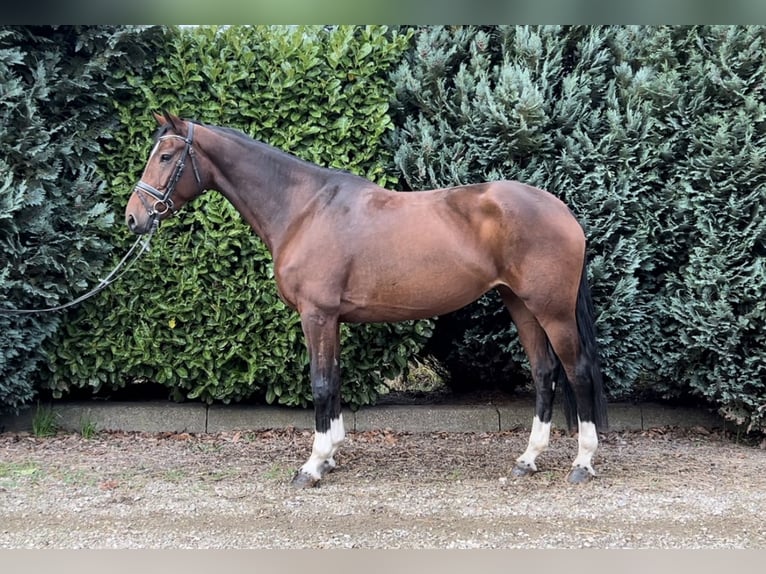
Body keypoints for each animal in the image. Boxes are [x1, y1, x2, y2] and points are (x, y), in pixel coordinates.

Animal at [126, 111, 608, 486]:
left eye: (166, 157)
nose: (134, 218)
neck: (305, 209)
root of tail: (562, 211)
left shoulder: (317, 315)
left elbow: (320, 383)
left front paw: (313, 466)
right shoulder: (331, 319)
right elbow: (335, 379)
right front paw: (330, 456)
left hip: (552, 310)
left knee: (577, 371)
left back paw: (582, 463)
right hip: (519, 304)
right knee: (544, 372)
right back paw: (528, 460)